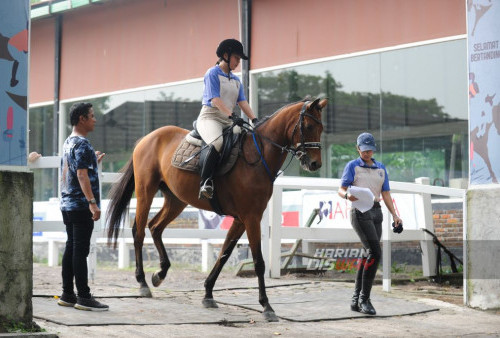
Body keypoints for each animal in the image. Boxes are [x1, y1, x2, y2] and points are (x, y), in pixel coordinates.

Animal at [105, 97, 328, 320]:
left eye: (322, 128)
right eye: (309, 126)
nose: (315, 164)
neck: (258, 156)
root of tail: (147, 138)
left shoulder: (241, 219)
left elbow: (224, 254)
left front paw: (208, 294)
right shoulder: (251, 218)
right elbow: (258, 262)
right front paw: (266, 306)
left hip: (176, 200)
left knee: (155, 227)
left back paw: (160, 274)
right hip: (146, 191)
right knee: (139, 231)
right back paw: (142, 282)